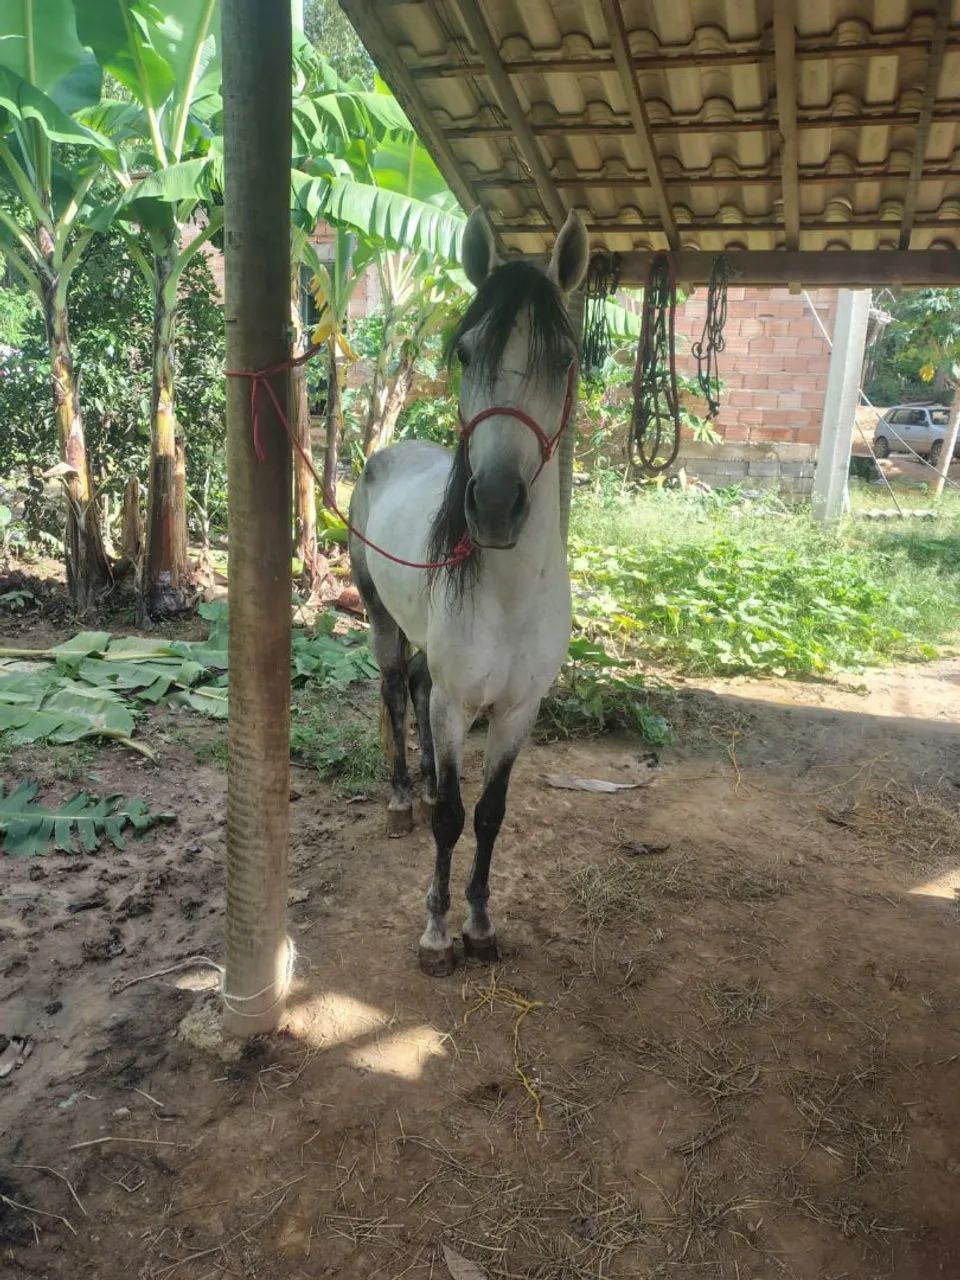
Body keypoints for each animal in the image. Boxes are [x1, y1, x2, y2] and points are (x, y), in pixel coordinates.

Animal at [348, 207, 589, 976]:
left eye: (566, 358)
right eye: (461, 351)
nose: (493, 506)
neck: (508, 598)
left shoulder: (517, 712)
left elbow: (488, 813)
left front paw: (480, 924)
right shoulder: (461, 705)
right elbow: (454, 819)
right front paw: (435, 931)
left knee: (419, 687)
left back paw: (424, 784)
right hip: (380, 617)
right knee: (398, 691)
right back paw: (405, 798)